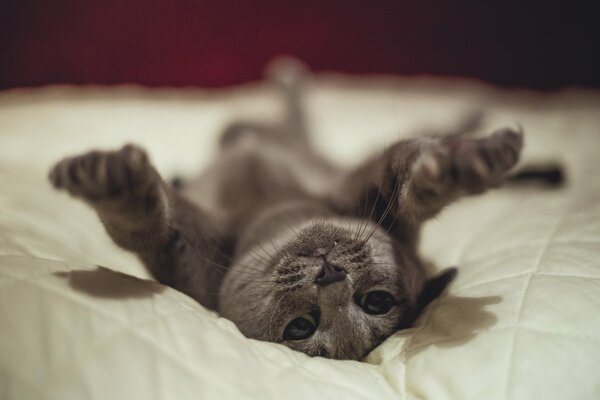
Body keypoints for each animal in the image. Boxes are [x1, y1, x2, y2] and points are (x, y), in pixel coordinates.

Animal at [49, 61, 524, 360]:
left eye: (301, 328)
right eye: (378, 301)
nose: (331, 276)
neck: (272, 212)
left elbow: (146, 225)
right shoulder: (356, 189)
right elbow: (403, 161)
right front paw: (463, 162)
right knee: (295, 122)